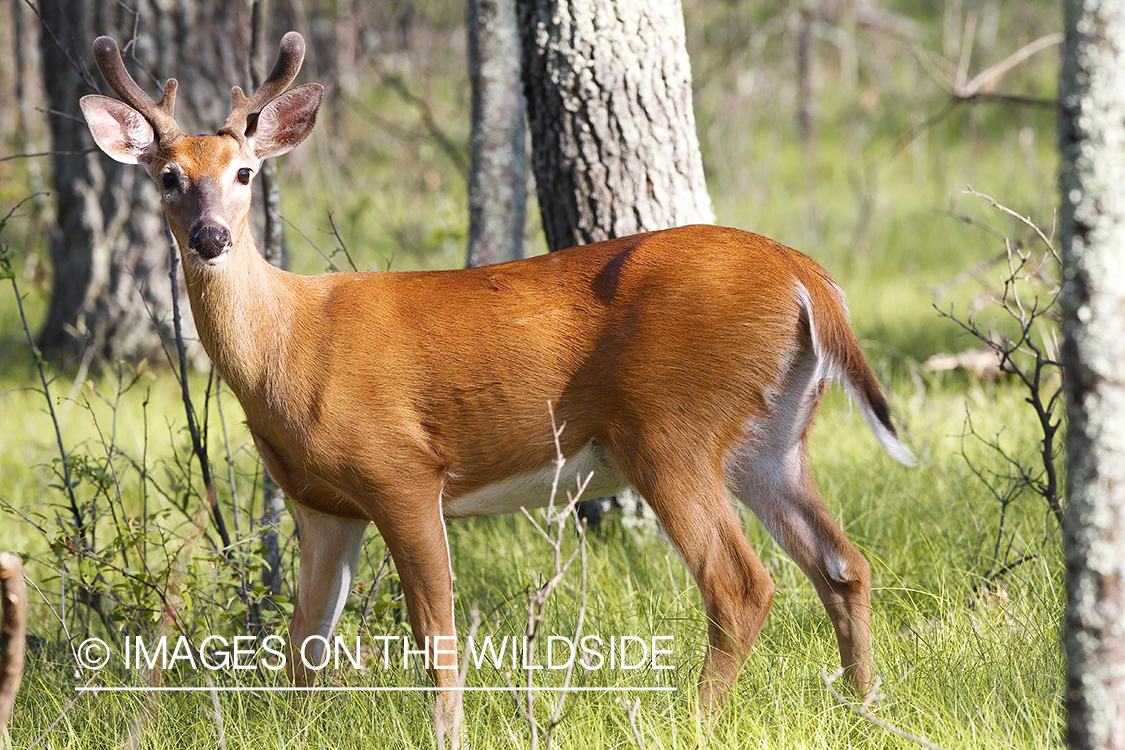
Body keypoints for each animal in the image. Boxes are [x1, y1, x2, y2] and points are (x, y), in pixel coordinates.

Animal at [81, 30, 913, 737]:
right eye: (168, 177)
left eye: (245, 172)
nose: (210, 237)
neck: (288, 347)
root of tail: (804, 274)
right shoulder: (321, 504)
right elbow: (303, 647)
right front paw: (294, 734)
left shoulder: (401, 471)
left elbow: (436, 633)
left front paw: (445, 734)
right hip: (770, 439)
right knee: (843, 565)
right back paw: (863, 710)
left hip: (669, 426)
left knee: (740, 586)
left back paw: (694, 723)